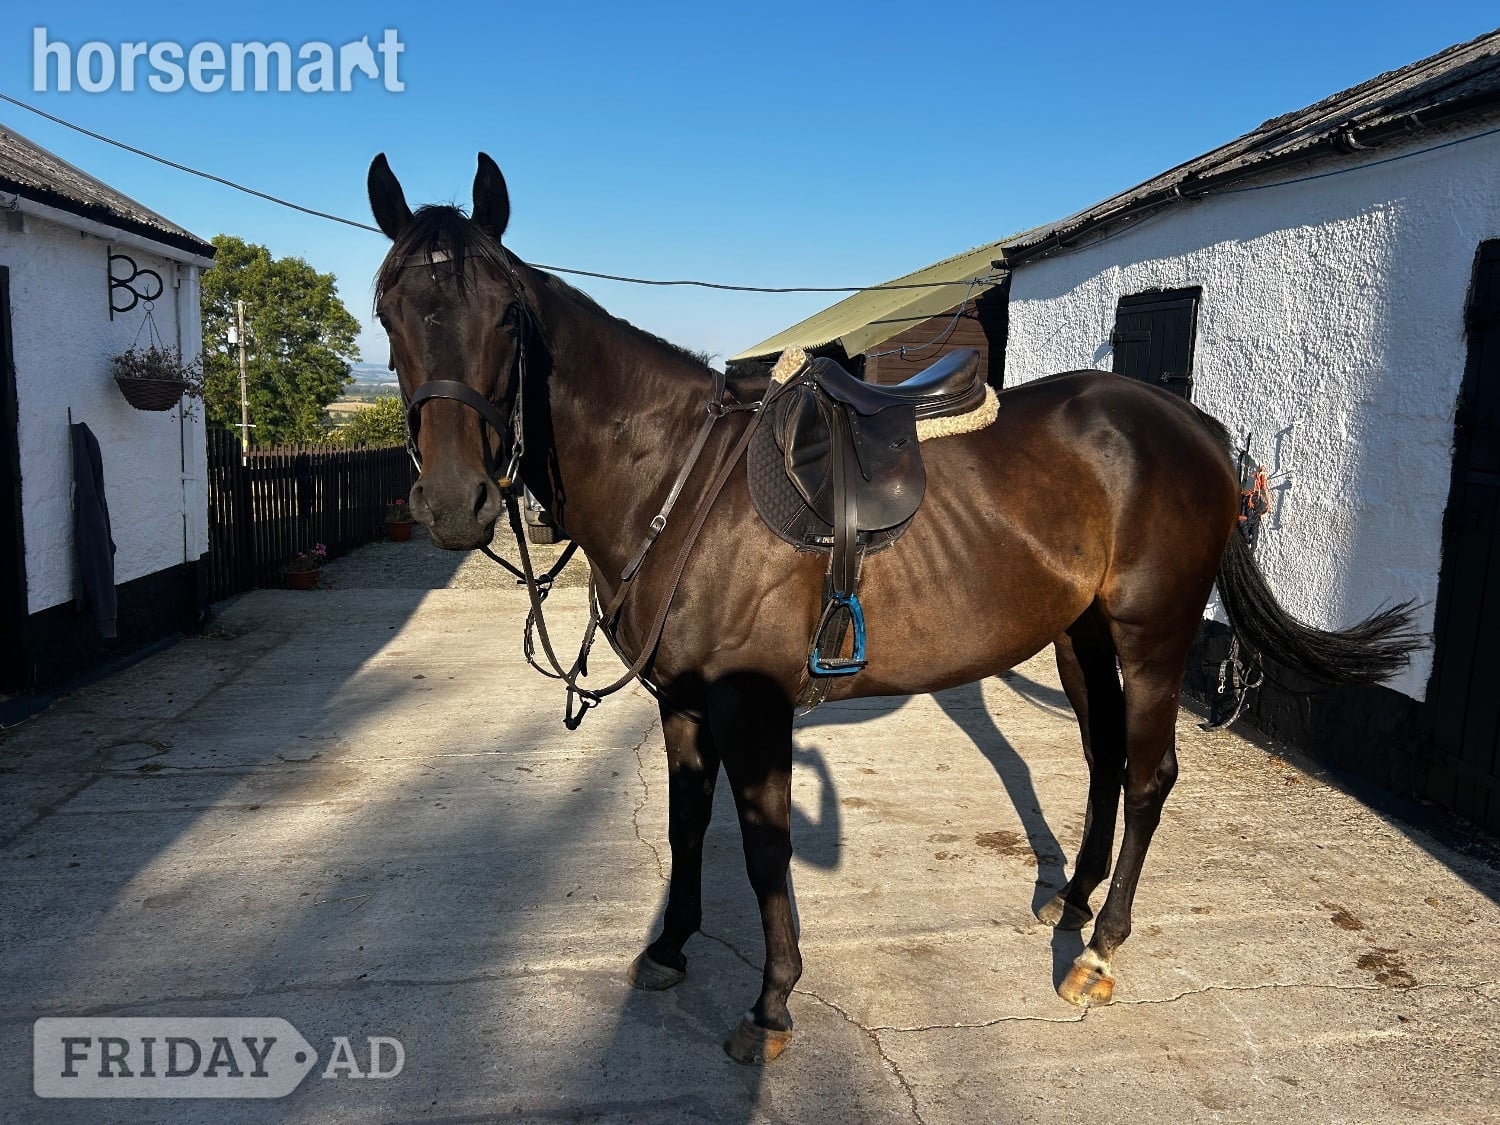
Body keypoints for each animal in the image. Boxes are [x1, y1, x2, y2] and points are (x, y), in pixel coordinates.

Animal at [366, 152, 1421, 1064]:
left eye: (508, 316)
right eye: (388, 309)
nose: (453, 500)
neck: (674, 477)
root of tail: (1194, 425)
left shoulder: (753, 708)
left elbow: (764, 850)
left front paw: (772, 1002)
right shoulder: (684, 704)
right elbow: (683, 825)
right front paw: (668, 950)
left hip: (1151, 637)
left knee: (1153, 775)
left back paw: (1097, 950)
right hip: (1080, 639)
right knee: (1105, 763)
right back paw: (1071, 904)